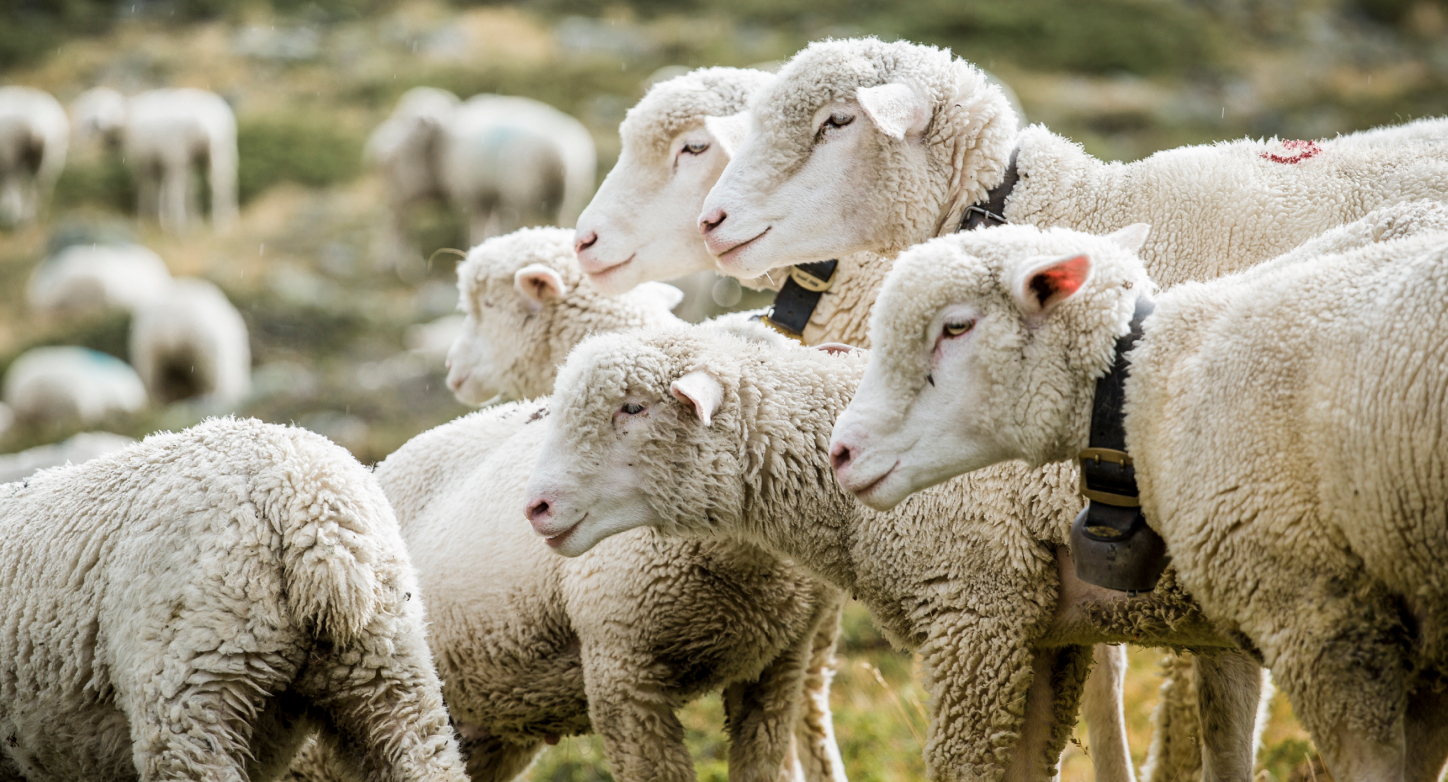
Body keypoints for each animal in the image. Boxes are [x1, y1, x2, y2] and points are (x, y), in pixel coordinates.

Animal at [0, 87, 68, 228]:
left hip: (16, 157)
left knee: (17, 190)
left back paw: (16, 219)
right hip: (48, 160)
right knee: (38, 187)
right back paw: (28, 217)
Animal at [71, 87, 239, 233]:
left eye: (108, 107)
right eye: (89, 107)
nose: (97, 122)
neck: (126, 121)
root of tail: (207, 122)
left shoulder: (143, 161)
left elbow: (147, 186)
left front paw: (146, 216)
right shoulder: (161, 161)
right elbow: (164, 187)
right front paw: (164, 216)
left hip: (177, 152)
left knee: (177, 187)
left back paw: (178, 223)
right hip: (221, 151)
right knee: (221, 182)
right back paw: (222, 219)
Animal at [367, 89, 596, 267]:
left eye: (415, 119)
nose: (383, 146)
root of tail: (561, 155)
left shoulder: (473, 192)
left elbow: (478, 222)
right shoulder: (488, 192)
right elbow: (490, 221)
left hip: (523, 188)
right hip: (567, 194)